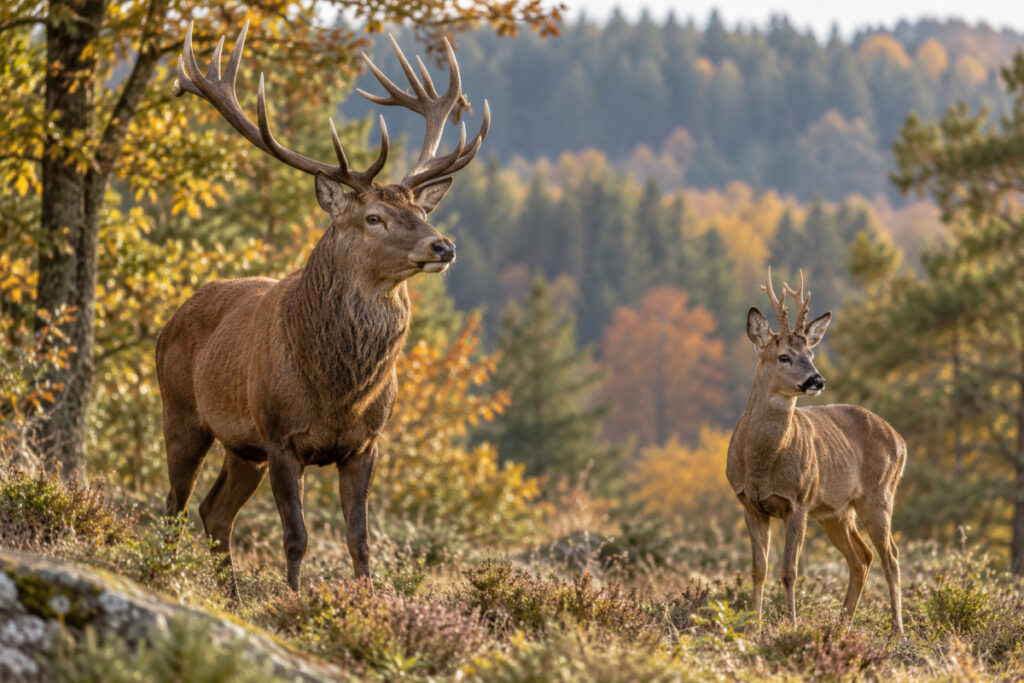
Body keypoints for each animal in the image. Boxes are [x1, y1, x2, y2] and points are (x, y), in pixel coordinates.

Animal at [157, 20, 489, 593]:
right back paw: (162, 572)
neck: (339, 393)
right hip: (182, 414)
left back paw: (231, 593)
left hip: (241, 448)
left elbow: (360, 540)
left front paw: (367, 598)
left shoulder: (365, 444)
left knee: (213, 512)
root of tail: (169, 321)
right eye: (374, 217)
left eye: (420, 212)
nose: (442, 246)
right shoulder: (280, 436)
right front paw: (293, 600)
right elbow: (297, 536)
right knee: (173, 508)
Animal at [726, 268, 906, 638]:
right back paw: (842, 624)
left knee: (891, 556)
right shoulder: (749, 503)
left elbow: (788, 571)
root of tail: (901, 441)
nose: (817, 380)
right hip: (836, 512)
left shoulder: (799, 500)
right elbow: (758, 569)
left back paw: (898, 631)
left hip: (879, 495)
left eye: (811, 355)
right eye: (784, 356)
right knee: (862, 558)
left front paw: (791, 625)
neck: (761, 463)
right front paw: (752, 629)